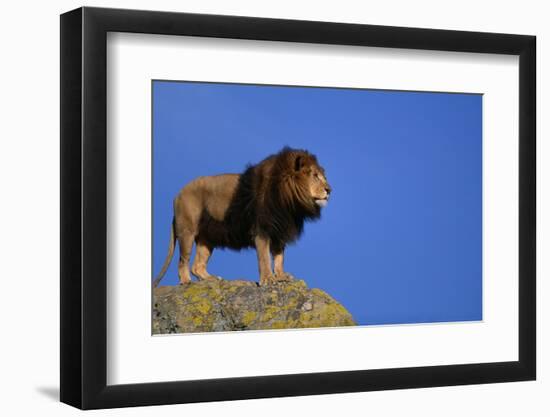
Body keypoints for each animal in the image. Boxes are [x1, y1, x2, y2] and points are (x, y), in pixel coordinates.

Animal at [151, 146, 332, 286]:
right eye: (315, 176)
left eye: (323, 176)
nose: (329, 190)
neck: (290, 204)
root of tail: (177, 194)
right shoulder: (262, 229)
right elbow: (264, 258)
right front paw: (268, 279)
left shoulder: (279, 230)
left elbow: (279, 257)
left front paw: (281, 276)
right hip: (187, 231)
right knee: (183, 261)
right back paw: (186, 281)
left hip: (207, 238)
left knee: (197, 265)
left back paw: (211, 279)